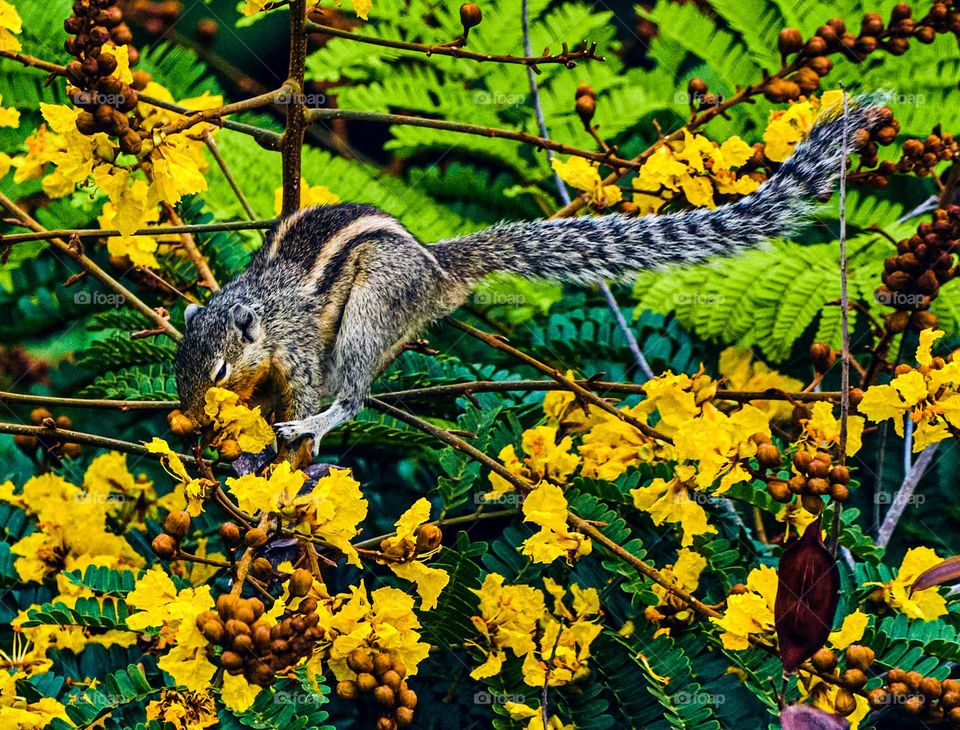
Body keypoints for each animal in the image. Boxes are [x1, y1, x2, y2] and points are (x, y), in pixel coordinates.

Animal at [174, 102, 884, 456]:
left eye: (217, 372)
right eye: (179, 372)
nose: (192, 421)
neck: (259, 312)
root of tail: (438, 270)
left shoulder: (297, 348)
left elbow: (306, 391)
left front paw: (286, 436)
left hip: (376, 302)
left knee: (352, 388)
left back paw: (324, 422)